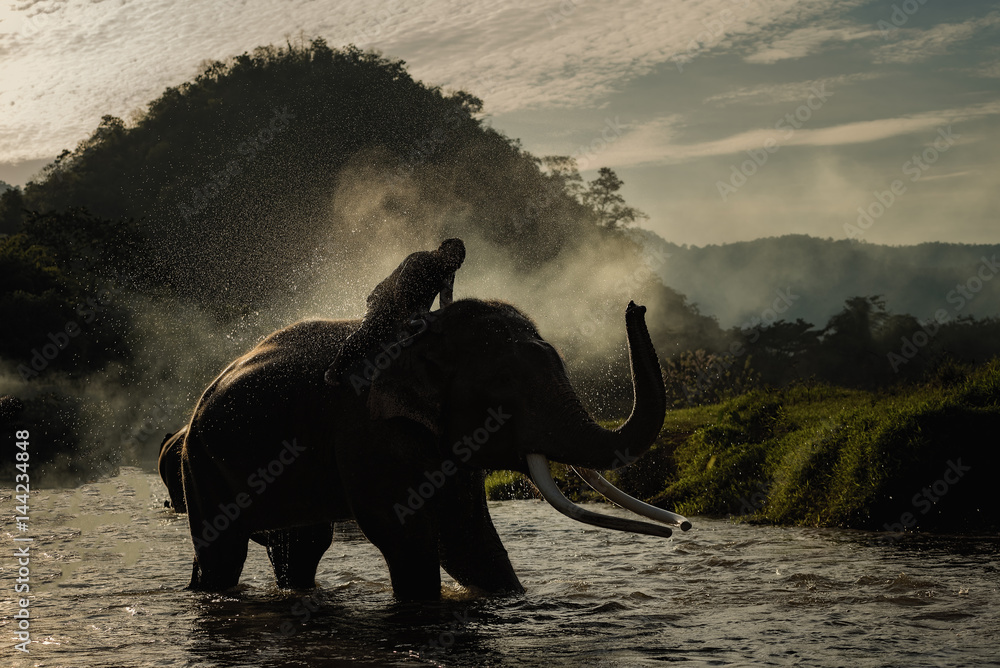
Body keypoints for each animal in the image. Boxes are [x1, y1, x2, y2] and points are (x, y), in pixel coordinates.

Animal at [179, 239, 688, 599]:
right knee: (224, 550)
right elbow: (404, 533)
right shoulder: (369, 432)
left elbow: (468, 536)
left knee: (302, 545)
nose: (636, 305)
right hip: (199, 465)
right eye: (505, 390)